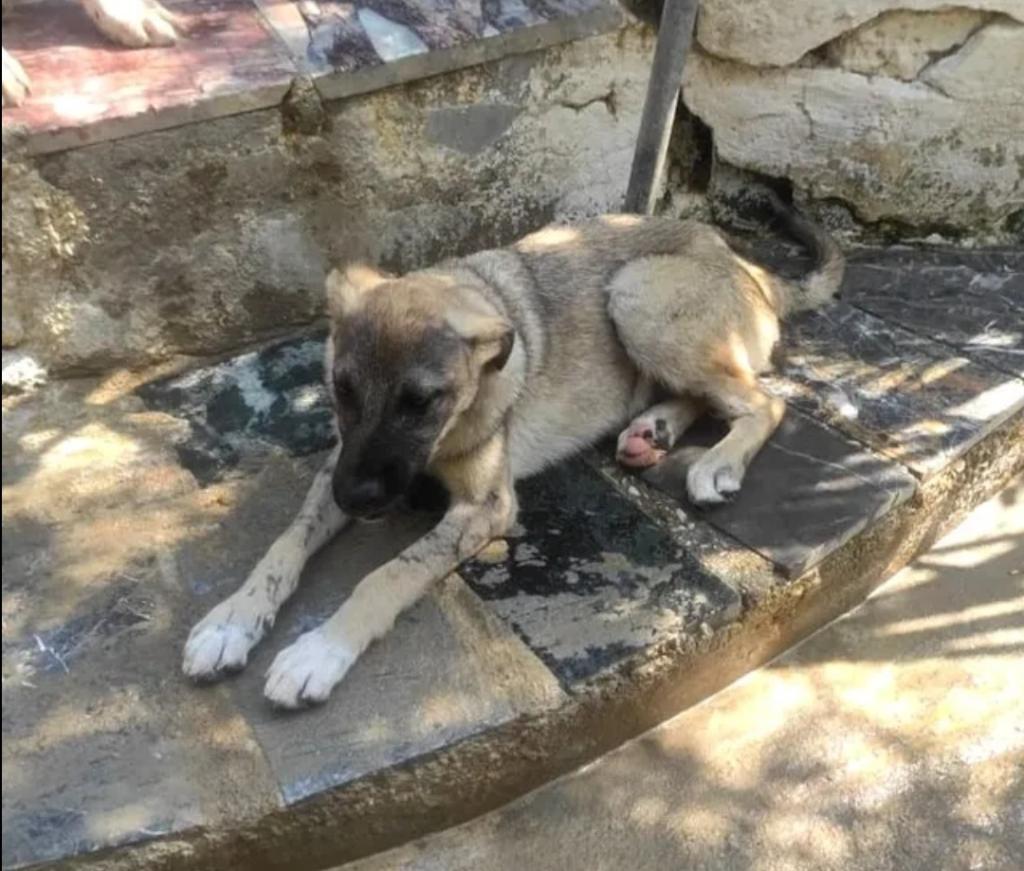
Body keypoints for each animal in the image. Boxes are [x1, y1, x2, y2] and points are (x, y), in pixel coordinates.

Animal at [181, 195, 844, 708]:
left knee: (765, 402)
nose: (357, 499)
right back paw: (650, 430)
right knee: (704, 395)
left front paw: (320, 650)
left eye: (421, 402)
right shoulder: (339, 464)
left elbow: (385, 574)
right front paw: (232, 619)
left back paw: (715, 461)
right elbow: (283, 544)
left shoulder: (486, 506)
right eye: (342, 389)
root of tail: (748, 266)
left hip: (638, 296)